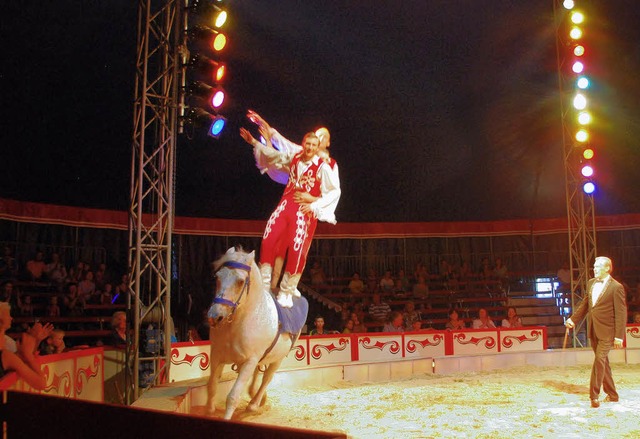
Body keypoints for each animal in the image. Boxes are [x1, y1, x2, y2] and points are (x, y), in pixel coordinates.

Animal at [205, 248, 304, 420]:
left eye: (240, 281)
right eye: (217, 277)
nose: (214, 317)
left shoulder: (249, 361)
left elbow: (233, 396)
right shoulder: (216, 355)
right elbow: (212, 386)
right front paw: (210, 411)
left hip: (277, 359)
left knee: (267, 378)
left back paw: (254, 404)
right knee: (258, 375)